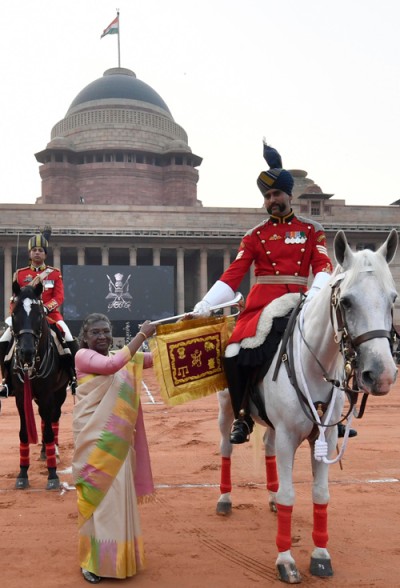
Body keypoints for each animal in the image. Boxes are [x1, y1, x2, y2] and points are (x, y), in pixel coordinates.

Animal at [10, 282, 70, 490]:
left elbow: (50, 431)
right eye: (14, 314)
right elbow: (23, 433)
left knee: (53, 418)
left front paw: (52, 475)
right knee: (45, 420)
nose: (26, 351)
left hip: (59, 393)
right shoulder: (21, 397)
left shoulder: (48, 394)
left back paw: (52, 452)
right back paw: (45, 452)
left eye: (39, 314)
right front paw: (22, 473)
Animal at [216, 227, 396, 580]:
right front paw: (285, 560)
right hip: (227, 407)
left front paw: (321, 555)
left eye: (392, 298)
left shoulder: (323, 436)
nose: (381, 374)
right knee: (226, 447)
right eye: (346, 302)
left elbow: (320, 494)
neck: (315, 365)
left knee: (268, 446)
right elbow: (290, 495)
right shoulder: (289, 435)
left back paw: (270, 495)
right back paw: (225, 498)